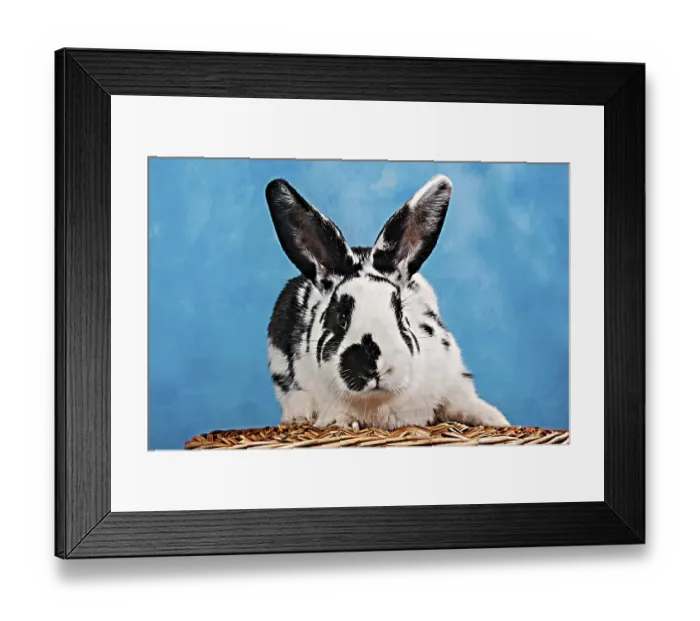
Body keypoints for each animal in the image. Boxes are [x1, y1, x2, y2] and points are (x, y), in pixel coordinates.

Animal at [265, 174, 509, 431]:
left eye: (400, 314)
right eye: (340, 318)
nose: (372, 365)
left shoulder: (452, 378)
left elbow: (462, 402)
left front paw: (496, 419)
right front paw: (340, 421)